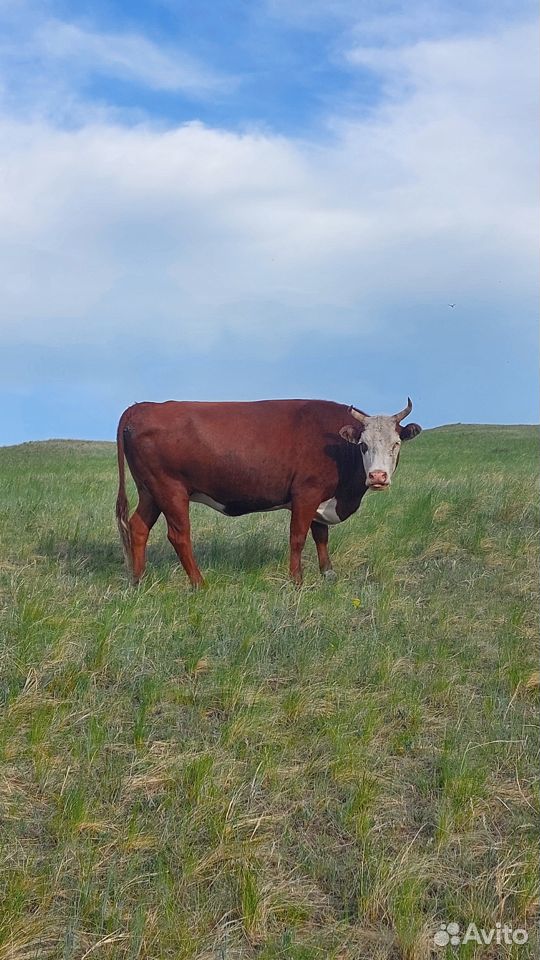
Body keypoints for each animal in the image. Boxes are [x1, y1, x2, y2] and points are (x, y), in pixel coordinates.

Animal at [116, 398, 422, 584]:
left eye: (395, 444)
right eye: (363, 445)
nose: (378, 476)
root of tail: (142, 407)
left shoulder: (321, 500)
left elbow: (321, 537)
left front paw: (328, 574)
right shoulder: (306, 494)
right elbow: (298, 538)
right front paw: (296, 580)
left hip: (150, 491)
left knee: (138, 527)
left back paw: (138, 580)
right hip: (170, 489)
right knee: (179, 536)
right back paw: (199, 584)